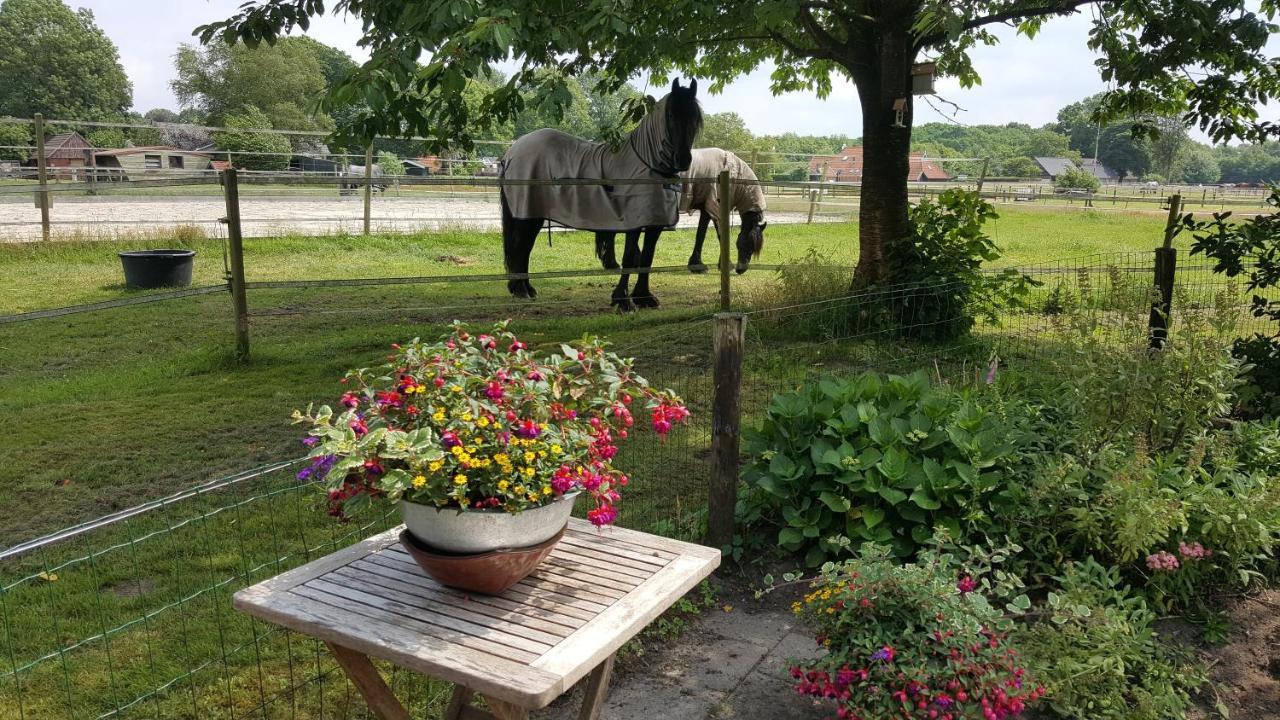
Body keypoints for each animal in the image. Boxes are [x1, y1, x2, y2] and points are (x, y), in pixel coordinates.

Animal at [499, 78, 706, 302]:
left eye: (695, 117)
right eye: (671, 115)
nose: (683, 160)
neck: (647, 164)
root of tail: (512, 152)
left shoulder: (654, 223)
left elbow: (647, 258)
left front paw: (643, 297)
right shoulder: (633, 223)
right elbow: (630, 258)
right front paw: (622, 298)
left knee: (523, 248)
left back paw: (525, 288)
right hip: (527, 216)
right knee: (521, 247)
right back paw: (521, 290)